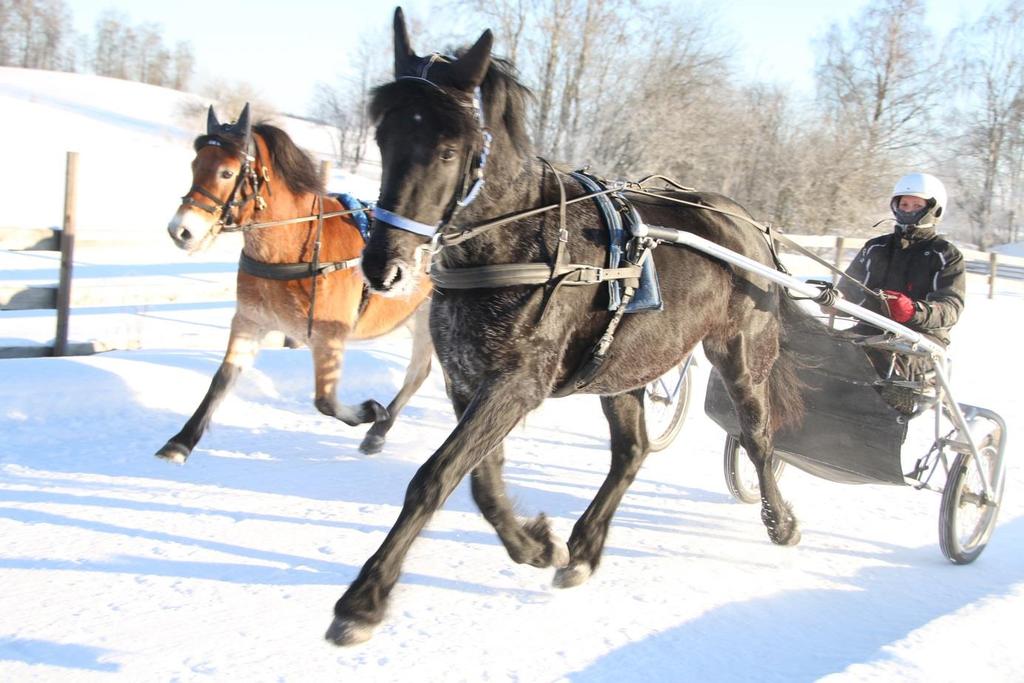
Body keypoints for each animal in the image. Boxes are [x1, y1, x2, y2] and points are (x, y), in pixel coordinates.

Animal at [155, 104, 432, 462]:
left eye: (227, 173)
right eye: (195, 164)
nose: (181, 230)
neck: (298, 244)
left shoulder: (329, 335)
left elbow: (326, 401)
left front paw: (370, 410)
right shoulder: (250, 321)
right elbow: (223, 378)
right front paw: (181, 441)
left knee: (418, 372)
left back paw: (380, 426)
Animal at [323, 7, 811, 643]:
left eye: (449, 150)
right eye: (384, 137)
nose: (384, 266)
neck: (520, 243)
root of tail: (752, 228)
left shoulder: (516, 383)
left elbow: (434, 476)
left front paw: (363, 599)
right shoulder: (469, 381)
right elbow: (481, 479)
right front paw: (536, 545)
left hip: (740, 355)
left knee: (756, 438)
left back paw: (781, 521)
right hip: (623, 366)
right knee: (632, 451)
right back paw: (583, 548)